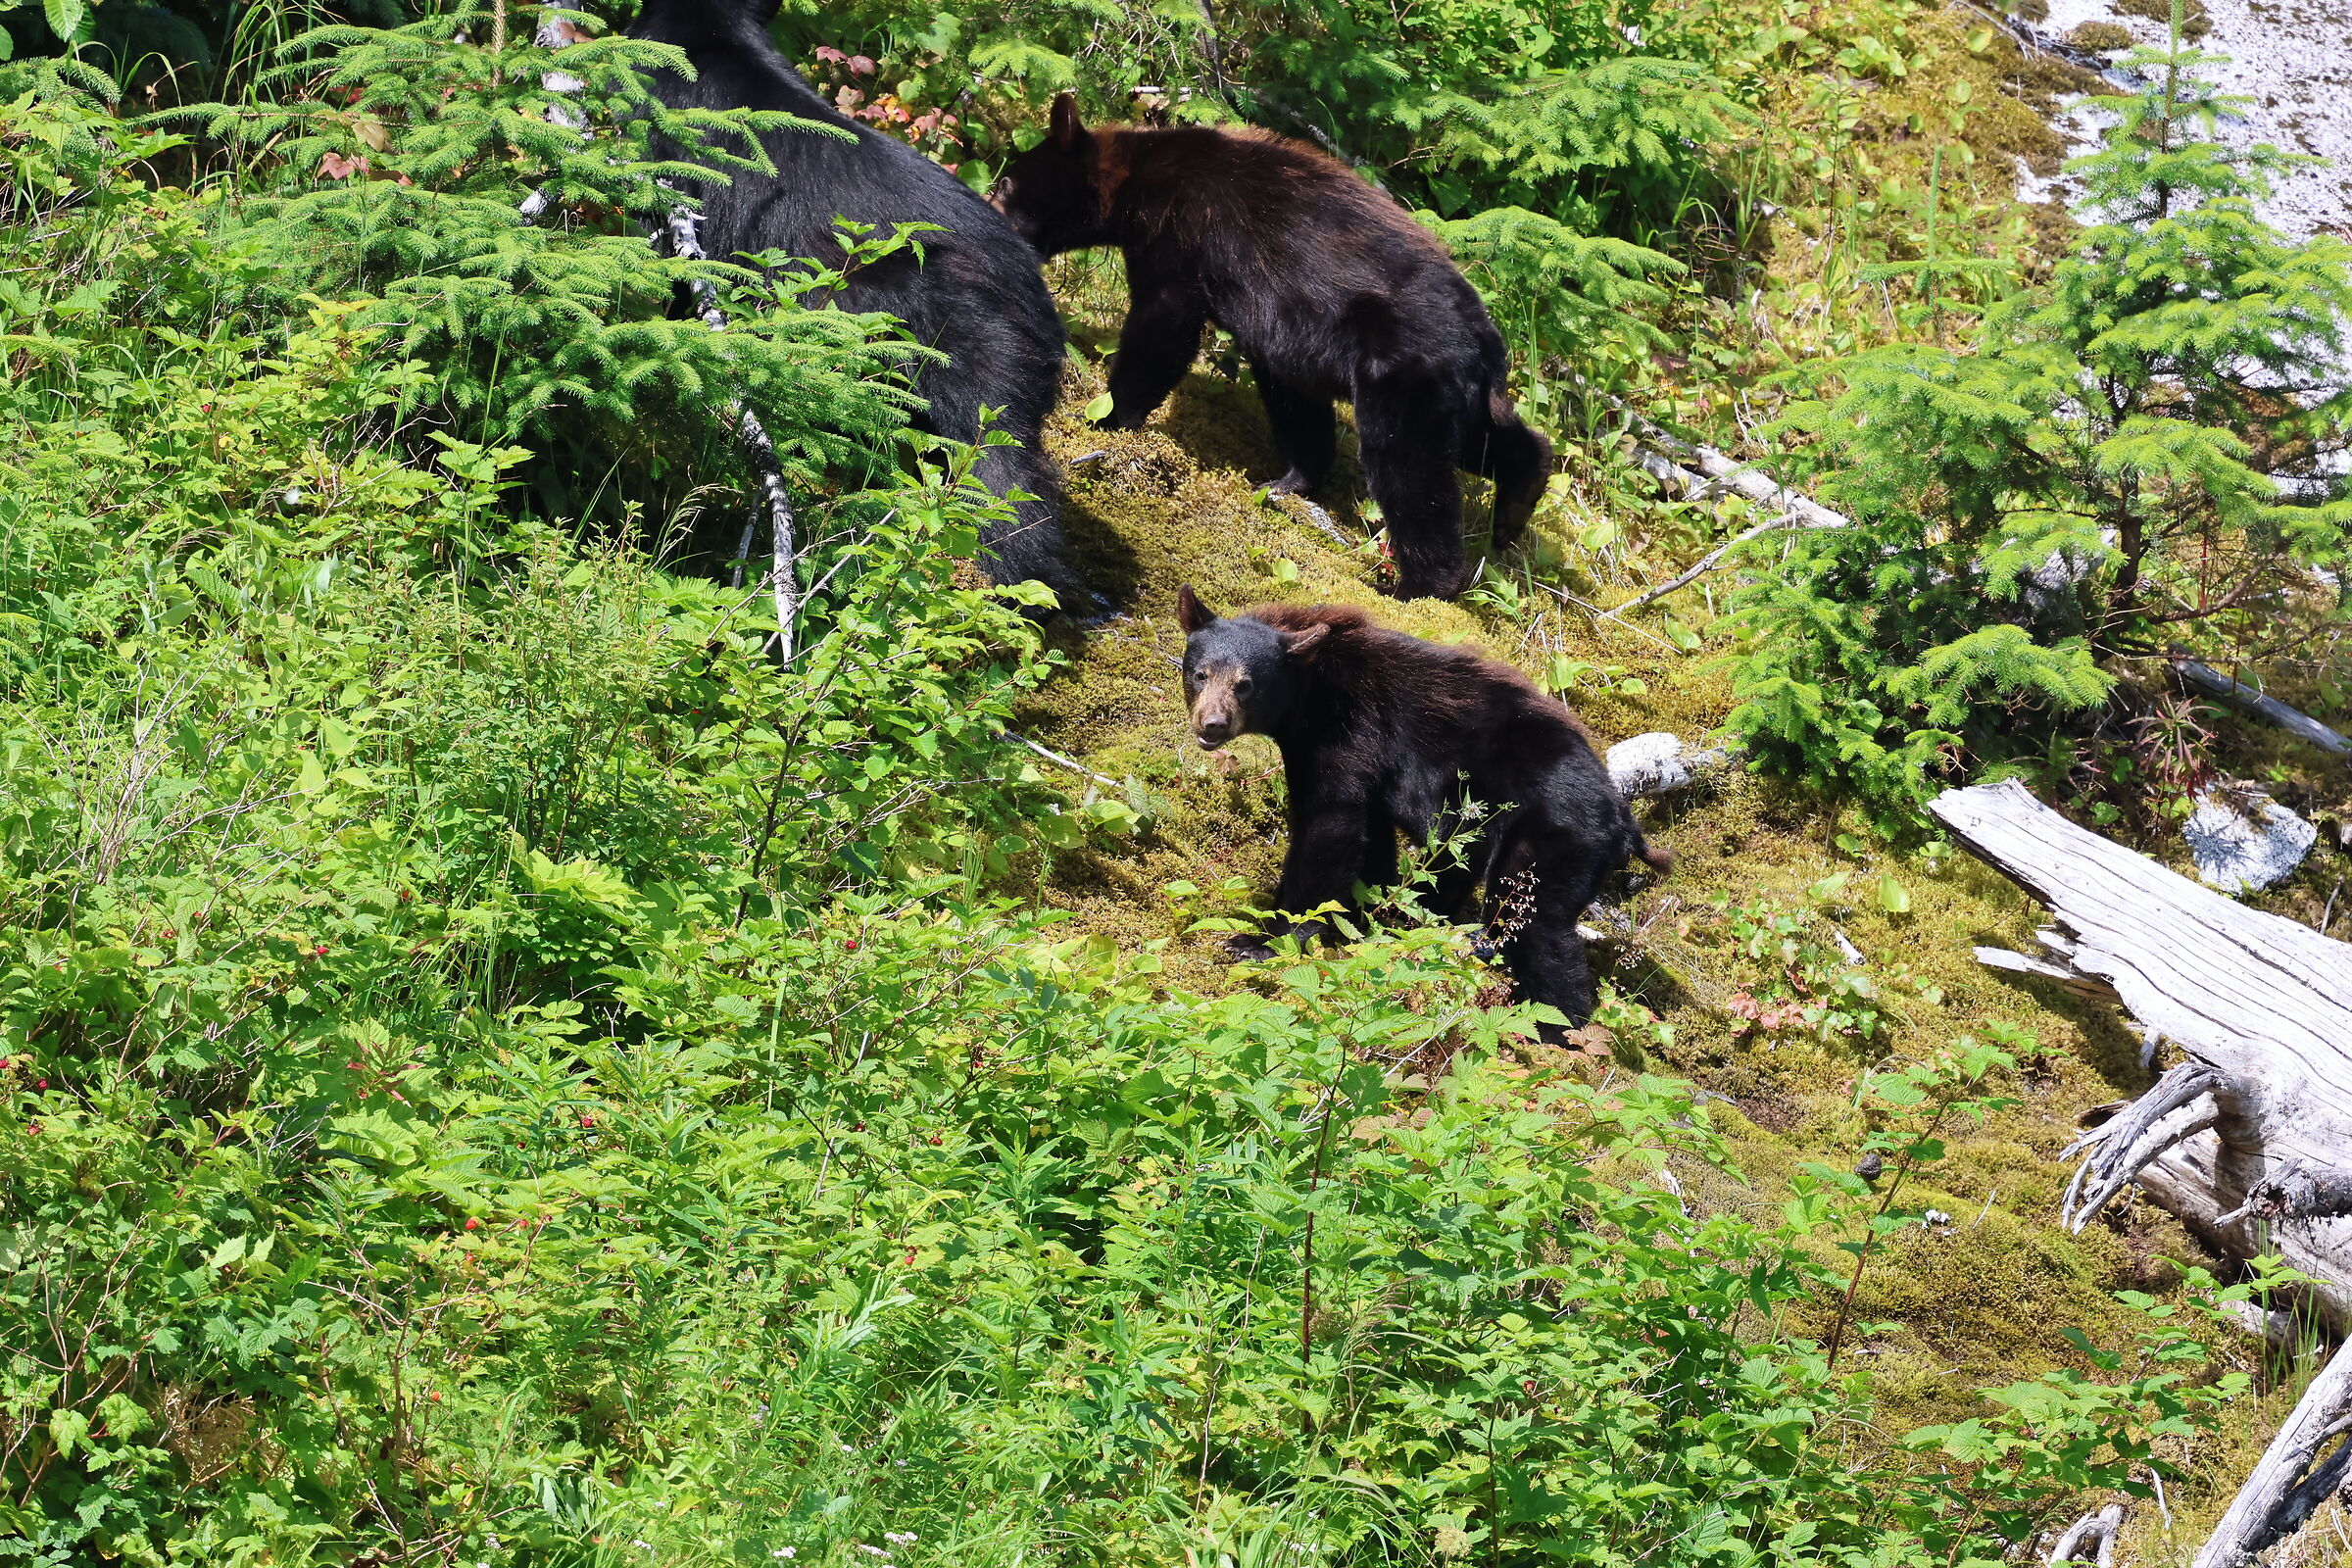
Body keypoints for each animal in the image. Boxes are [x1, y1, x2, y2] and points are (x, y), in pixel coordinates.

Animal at [991, 95, 1553, 602]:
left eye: (1007, 183)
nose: (989, 208)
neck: (1137, 180)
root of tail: (1485, 341)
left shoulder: (1181, 241)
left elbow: (1163, 330)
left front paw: (1107, 418)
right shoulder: (1286, 336)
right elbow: (1294, 399)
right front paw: (1295, 479)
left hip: (1402, 375)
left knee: (1409, 472)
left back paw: (1417, 586)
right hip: (1450, 390)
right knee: (1483, 439)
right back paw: (1518, 500)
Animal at [1175, 586, 1666, 1034]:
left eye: (1245, 685)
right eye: (1199, 673)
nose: (1212, 724)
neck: (1313, 689)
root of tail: (1624, 820)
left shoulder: (1348, 736)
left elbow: (1329, 826)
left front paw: (1263, 939)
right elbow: (1371, 843)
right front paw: (1363, 920)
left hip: (1553, 837)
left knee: (1533, 925)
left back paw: (1551, 1025)